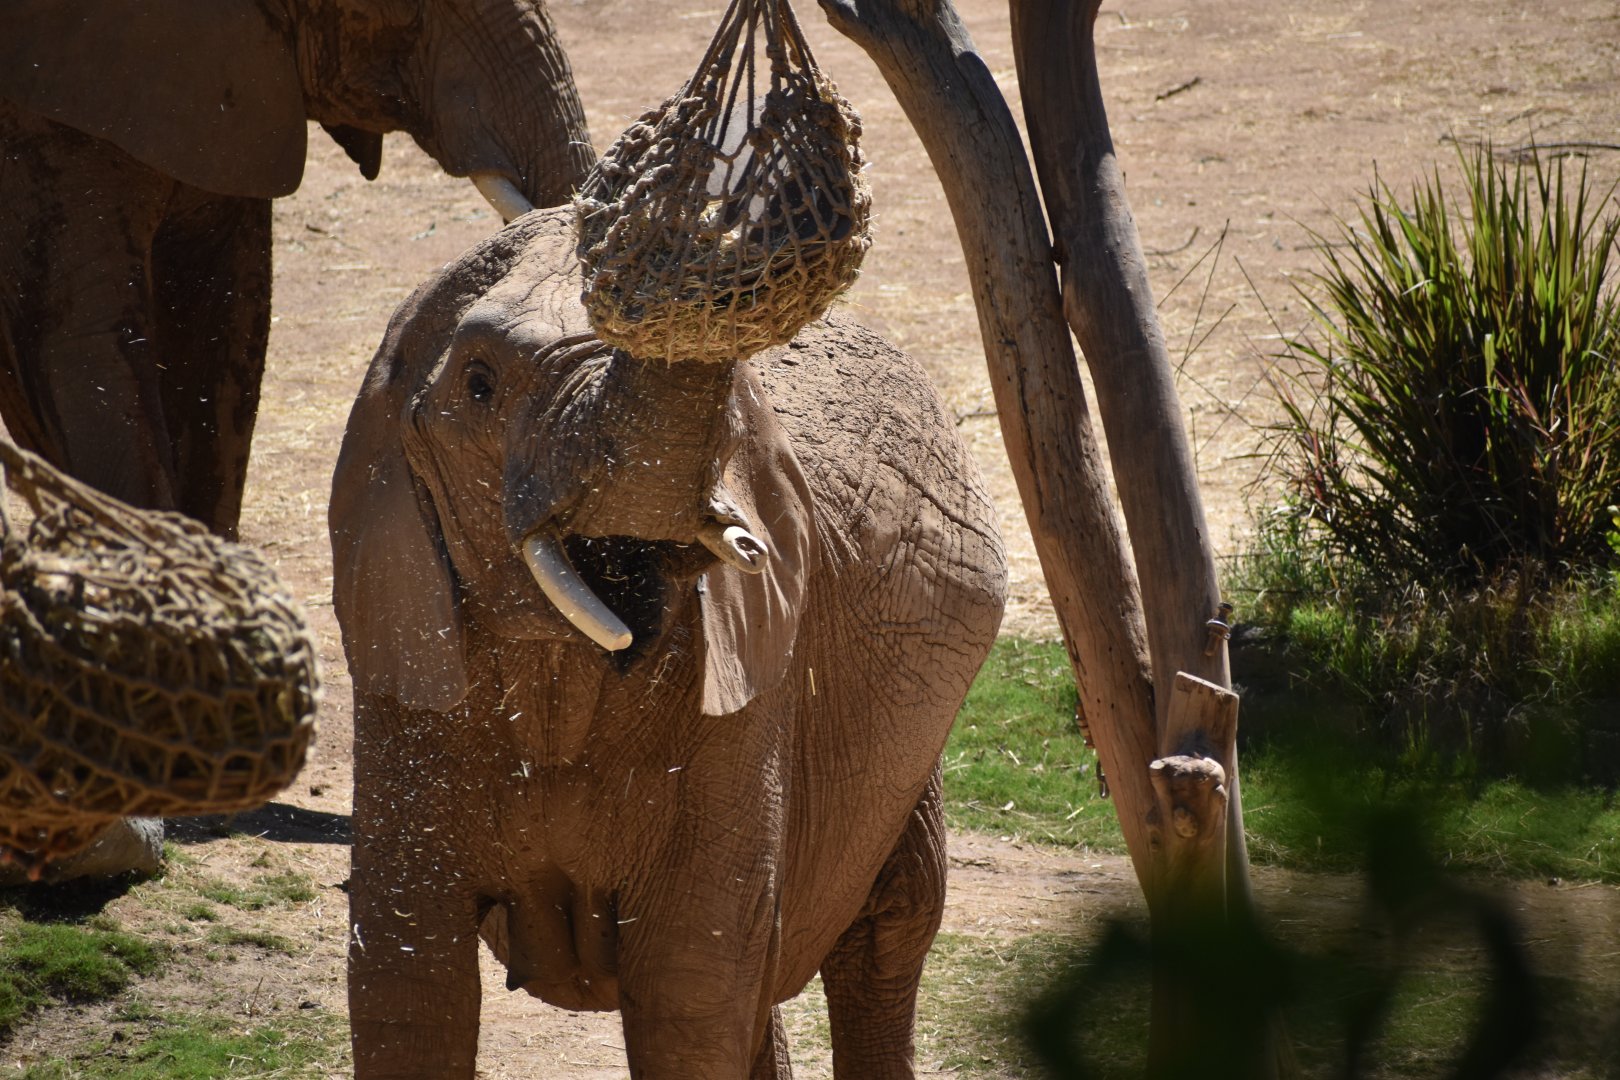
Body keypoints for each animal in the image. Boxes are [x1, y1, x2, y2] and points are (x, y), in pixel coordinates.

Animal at [329, 205, 1007, 1078]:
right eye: (479, 384)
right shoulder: (406, 663)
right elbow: (407, 974)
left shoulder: (747, 695)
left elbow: (688, 981)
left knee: (888, 931)